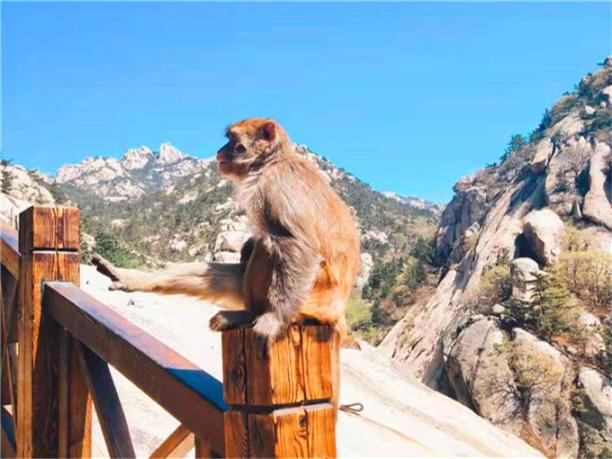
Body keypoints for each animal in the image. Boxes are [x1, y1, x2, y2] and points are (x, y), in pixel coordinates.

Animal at [92, 118, 360, 348]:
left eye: (233, 141)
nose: (220, 150)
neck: (269, 164)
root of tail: (338, 314)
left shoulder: (277, 186)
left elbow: (297, 245)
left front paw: (274, 318)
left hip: (311, 302)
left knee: (271, 246)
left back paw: (251, 315)